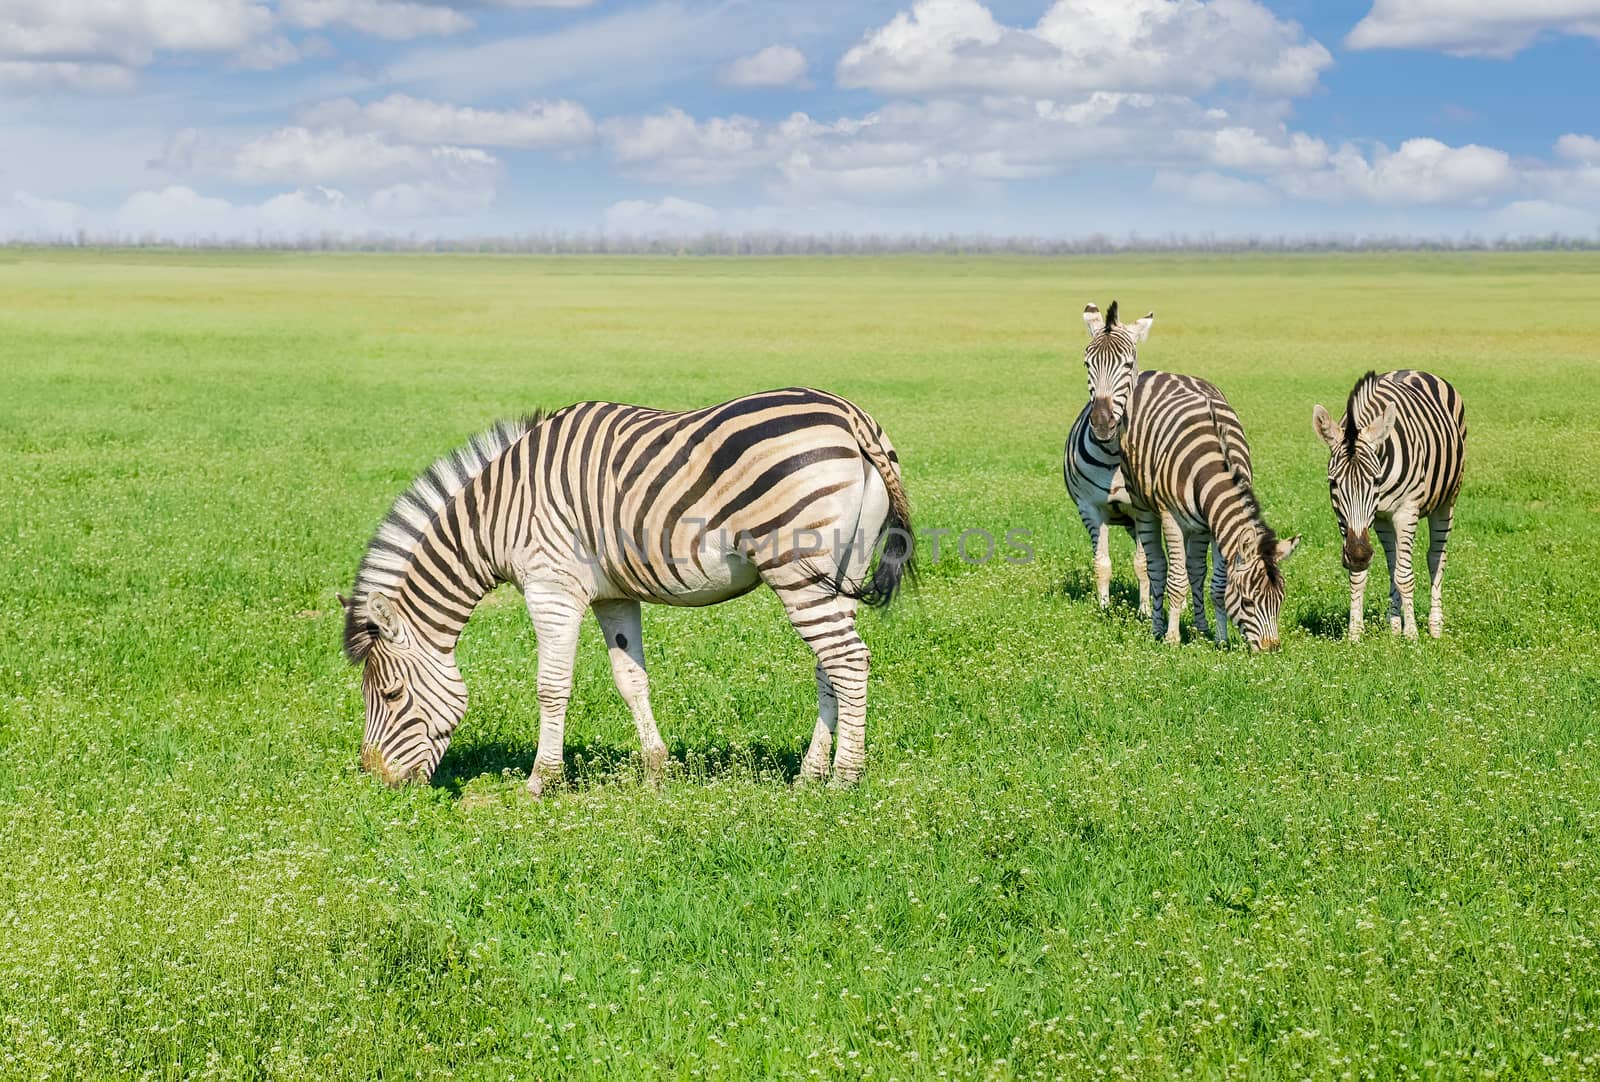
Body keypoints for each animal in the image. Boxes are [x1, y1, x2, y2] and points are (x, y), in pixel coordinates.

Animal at [340, 384, 915, 790]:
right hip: (841, 570)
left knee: (848, 660)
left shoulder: (551, 589)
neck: (498, 515)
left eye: (390, 694)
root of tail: (851, 416)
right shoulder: (614, 595)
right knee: (829, 665)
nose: (378, 780)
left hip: (797, 568)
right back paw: (810, 774)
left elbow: (551, 686)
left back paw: (844, 779)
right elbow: (631, 680)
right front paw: (657, 770)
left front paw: (540, 781)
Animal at [1062, 299, 1152, 611]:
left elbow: (1144, 564)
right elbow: (1101, 564)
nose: (1102, 423)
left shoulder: (1143, 511)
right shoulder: (1090, 509)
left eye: (1127, 364)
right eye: (1087, 363)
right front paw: (1102, 609)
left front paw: (1146, 612)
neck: (1113, 456)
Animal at [1113, 369, 1299, 649]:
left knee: (1195, 571)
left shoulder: (1216, 526)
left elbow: (1218, 586)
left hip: (1197, 527)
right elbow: (1176, 581)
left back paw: (1200, 629)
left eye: (1280, 600)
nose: (1271, 649)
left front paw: (1221, 640)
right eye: (1247, 602)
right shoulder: (1171, 518)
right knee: (1157, 567)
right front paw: (1172, 639)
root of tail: (1161, 373)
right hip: (1144, 506)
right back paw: (1157, 629)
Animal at [1312, 371, 1465, 643]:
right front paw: (1355, 633)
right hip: (1385, 520)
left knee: (1436, 558)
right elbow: (1362, 576)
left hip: (1447, 501)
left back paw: (1435, 626)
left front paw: (1412, 634)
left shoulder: (1406, 511)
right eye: (1333, 482)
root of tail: (1415, 370)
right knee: (1393, 563)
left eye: (1375, 480)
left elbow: (1405, 576)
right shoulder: (1361, 520)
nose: (1359, 555)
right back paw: (1394, 625)